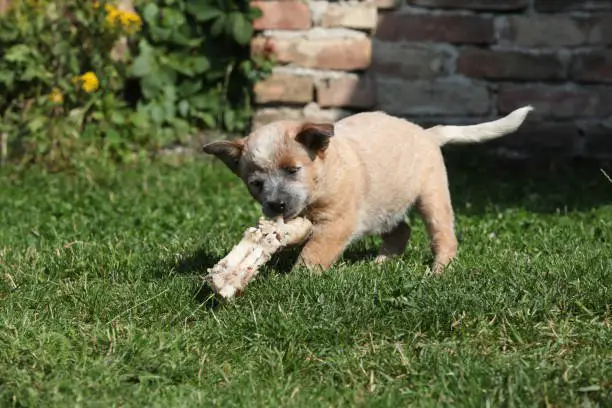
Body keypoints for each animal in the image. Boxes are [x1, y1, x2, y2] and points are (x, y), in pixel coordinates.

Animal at [203, 107, 532, 274]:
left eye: (292, 170)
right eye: (256, 184)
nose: (276, 205)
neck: (324, 176)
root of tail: (427, 133)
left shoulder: (336, 224)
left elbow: (314, 253)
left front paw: (296, 281)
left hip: (432, 197)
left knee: (444, 236)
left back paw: (439, 270)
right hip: (384, 206)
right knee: (402, 230)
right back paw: (382, 262)